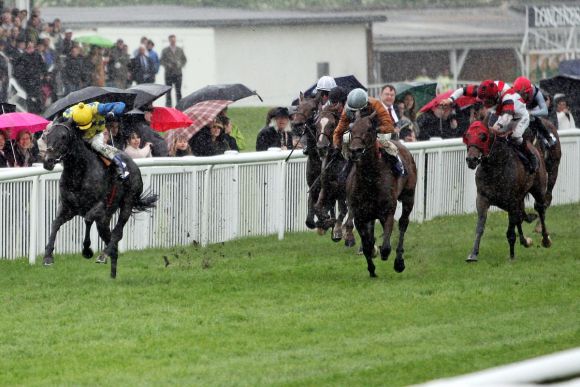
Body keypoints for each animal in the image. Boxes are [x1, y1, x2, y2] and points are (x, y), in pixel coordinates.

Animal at [42, 123, 157, 278]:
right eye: (46, 136)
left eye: (64, 137)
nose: (48, 161)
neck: (79, 173)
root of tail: (133, 164)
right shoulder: (67, 208)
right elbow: (55, 224)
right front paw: (48, 256)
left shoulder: (99, 206)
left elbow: (88, 219)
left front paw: (87, 250)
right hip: (105, 218)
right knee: (110, 238)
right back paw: (112, 273)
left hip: (127, 203)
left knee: (117, 233)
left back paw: (103, 255)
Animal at [314, 104, 356, 247]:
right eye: (316, 124)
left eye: (332, 125)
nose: (321, 147)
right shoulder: (327, 187)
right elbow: (317, 207)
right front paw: (326, 221)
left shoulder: (347, 190)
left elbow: (346, 211)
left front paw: (341, 232)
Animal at [344, 112, 416, 278]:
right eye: (351, 129)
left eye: (369, 129)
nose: (355, 150)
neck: (370, 178)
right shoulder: (360, 215)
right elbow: (367, 244)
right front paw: (372, 268)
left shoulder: (387, 211)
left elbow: (386, 246)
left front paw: (385, 254)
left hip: (409, 197)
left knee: (403, 223)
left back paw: (399, 261)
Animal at [462, 119, 552, 262]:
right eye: (467, 135)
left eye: (483, 136)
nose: (471, 159)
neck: (495, 166)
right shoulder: (482, 198)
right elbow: (480, 227)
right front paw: (473, 254)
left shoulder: (511, 200)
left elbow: (510, 231)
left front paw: (512, 256)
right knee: (520, 216)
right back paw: (525, 240)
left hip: (538, 189)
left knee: (540, 210)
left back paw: (545, 239)